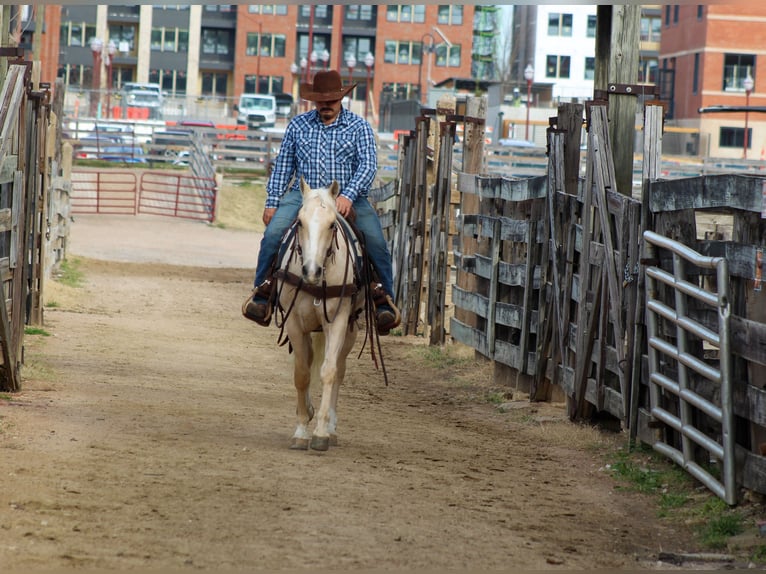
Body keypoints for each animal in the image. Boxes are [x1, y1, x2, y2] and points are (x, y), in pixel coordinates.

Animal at [274, 178, 370, 452]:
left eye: (331, 224)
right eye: (300, 222)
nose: (311, 270)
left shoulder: (337, 322)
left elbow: (328, 372)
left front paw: (320, 434)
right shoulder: (294, 324)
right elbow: (302, 373)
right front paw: (301, 430)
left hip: (350, 330)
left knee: (339, 369)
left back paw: (331, 427)